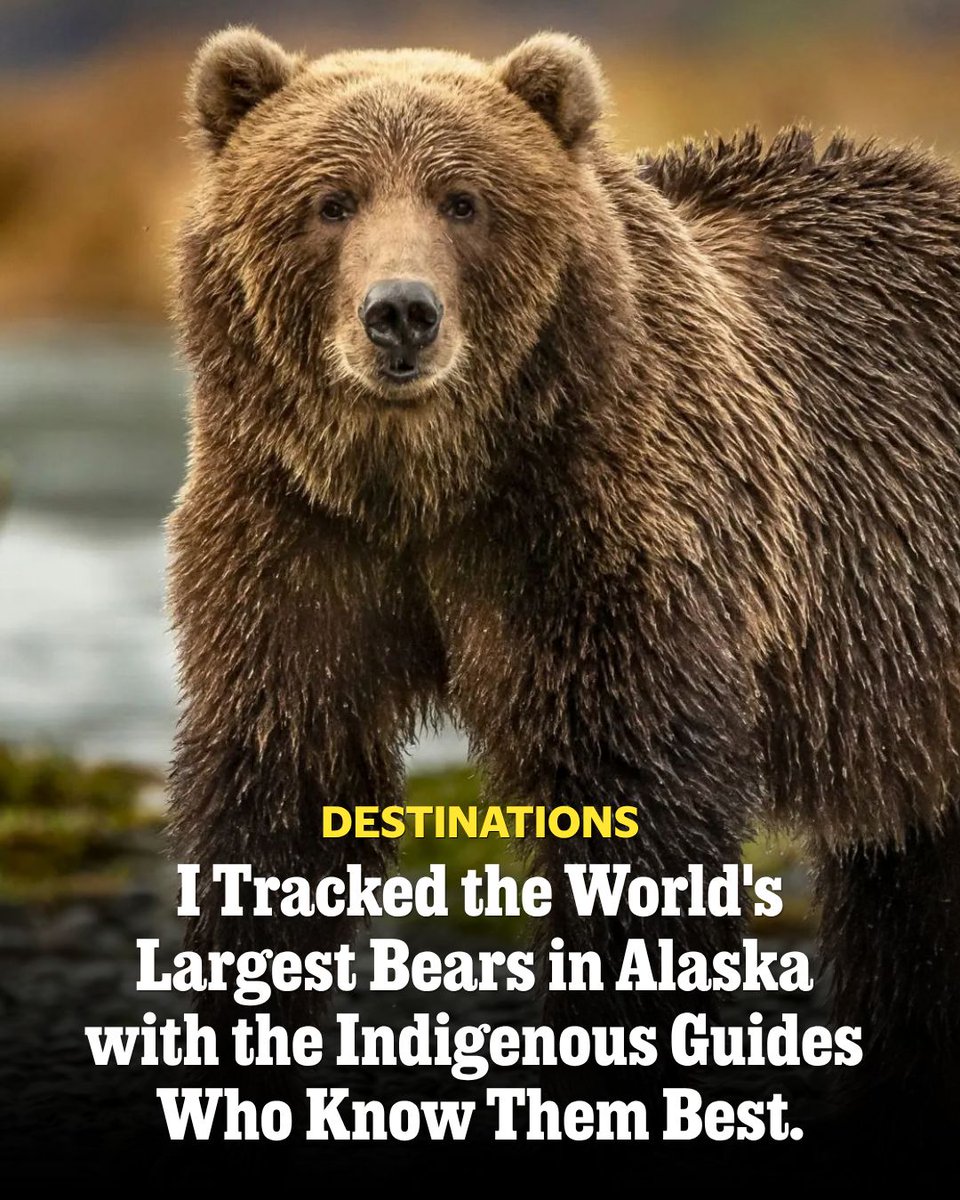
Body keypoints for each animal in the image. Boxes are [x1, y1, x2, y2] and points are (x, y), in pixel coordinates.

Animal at [168, 26, 960, 1132]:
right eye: (332, 200)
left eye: (463, 200)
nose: (400, 313)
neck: (427, 486)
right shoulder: (293, 532)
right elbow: (284, 774)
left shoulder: (597, 535)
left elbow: (628, 808)